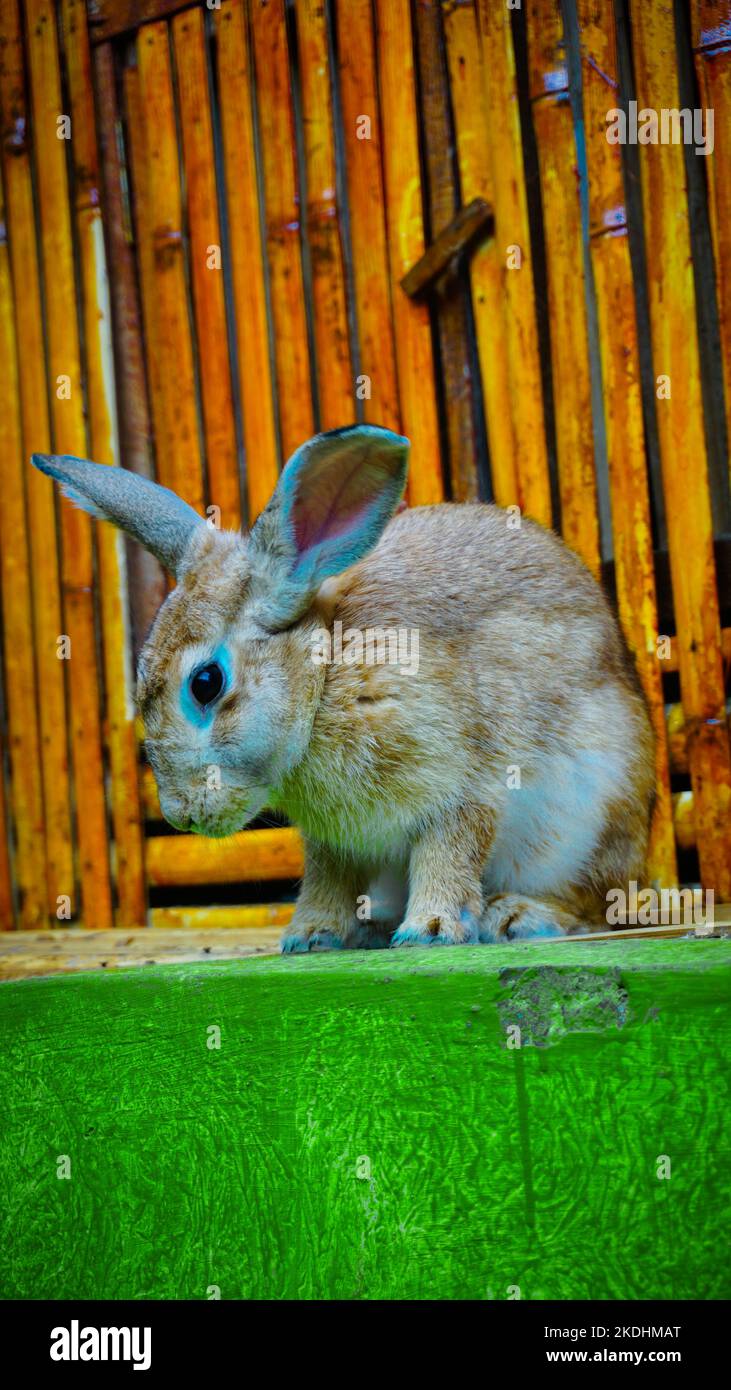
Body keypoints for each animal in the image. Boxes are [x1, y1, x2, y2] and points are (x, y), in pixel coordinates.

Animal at [32, 425, 655, 949]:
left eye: (206, 683)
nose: (180, 814)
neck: (322, 678)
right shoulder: (334, 841)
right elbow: (326, 880)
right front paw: (309, 937)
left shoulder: (465, 786)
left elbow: (449, 854)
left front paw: (430, 930)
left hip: (589, 822)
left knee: (596, 905)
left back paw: (517, 916)